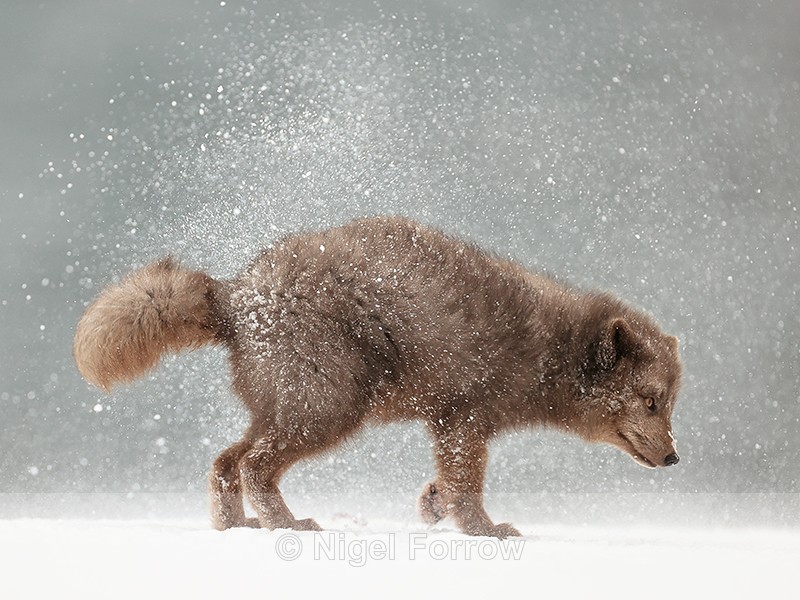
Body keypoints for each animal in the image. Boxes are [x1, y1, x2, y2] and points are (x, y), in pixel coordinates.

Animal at [73, 215, 682, 538]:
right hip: (329, 407)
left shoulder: (451, 424)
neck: (546, 348)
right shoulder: (466, 416)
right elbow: (468, 485)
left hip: (286, 406)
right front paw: (486, 531)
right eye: (651, 401)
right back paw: (289, 526)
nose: (675, 457)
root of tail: (235, 294)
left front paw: (434, 507)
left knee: (225, 461)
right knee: (252, 464)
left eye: (672, 402)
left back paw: (238, 529)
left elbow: (447, 482)